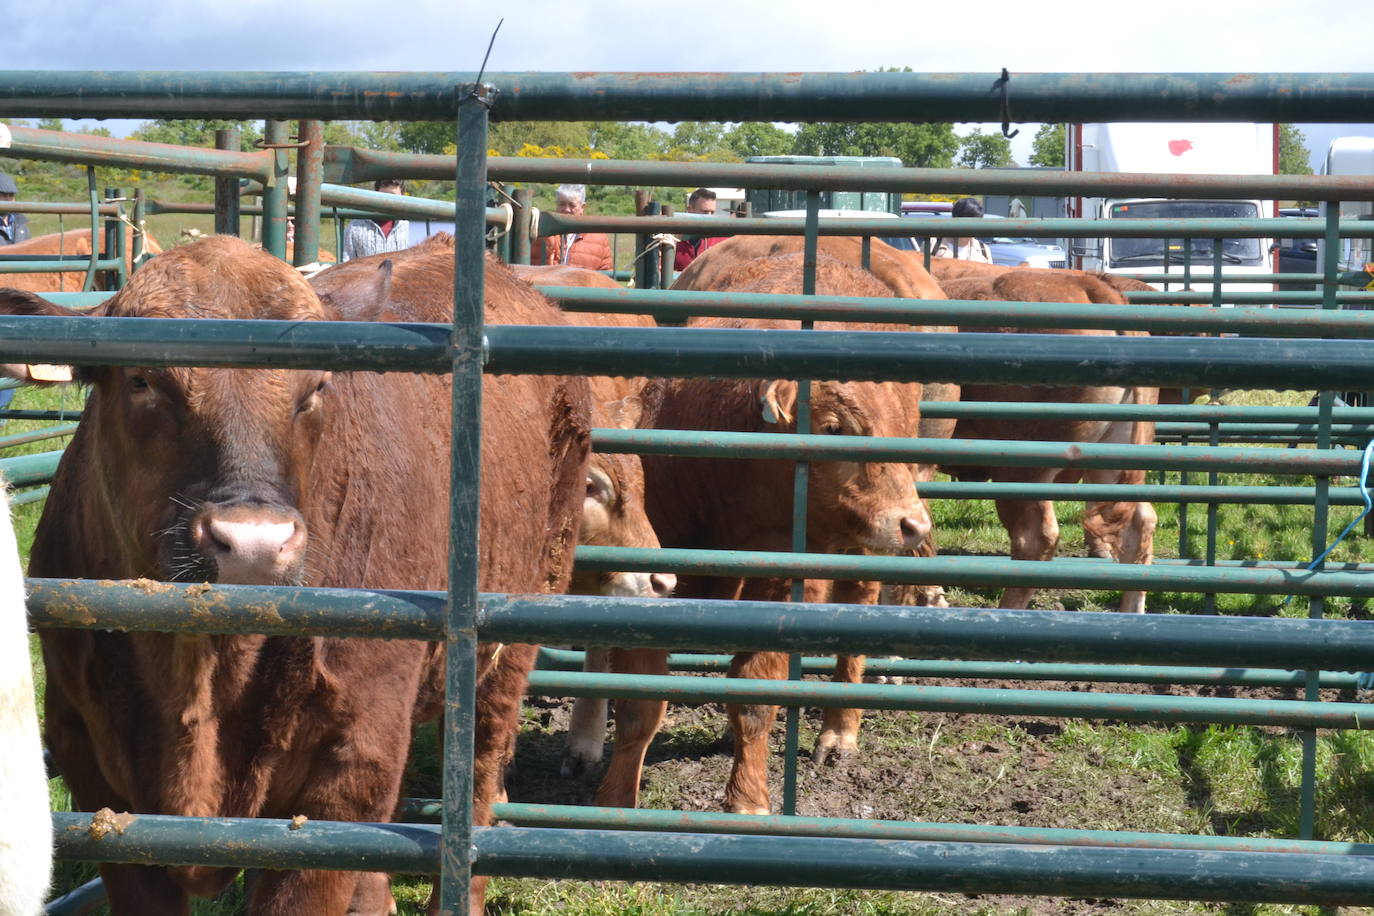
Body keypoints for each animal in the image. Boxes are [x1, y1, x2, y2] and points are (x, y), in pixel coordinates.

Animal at [8, 233, 593, 911]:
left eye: (315, 387)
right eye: (142, 379)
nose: (254, 544)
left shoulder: (349, 762)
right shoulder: (94, 771)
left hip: (514, 632)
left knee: (479, 764)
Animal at [601, 252, 934, 818]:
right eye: (833, 427)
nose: (914, 524)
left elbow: (757, 689)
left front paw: (748, 797)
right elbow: (637, 703)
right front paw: (615, 799)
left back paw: (838, 735)